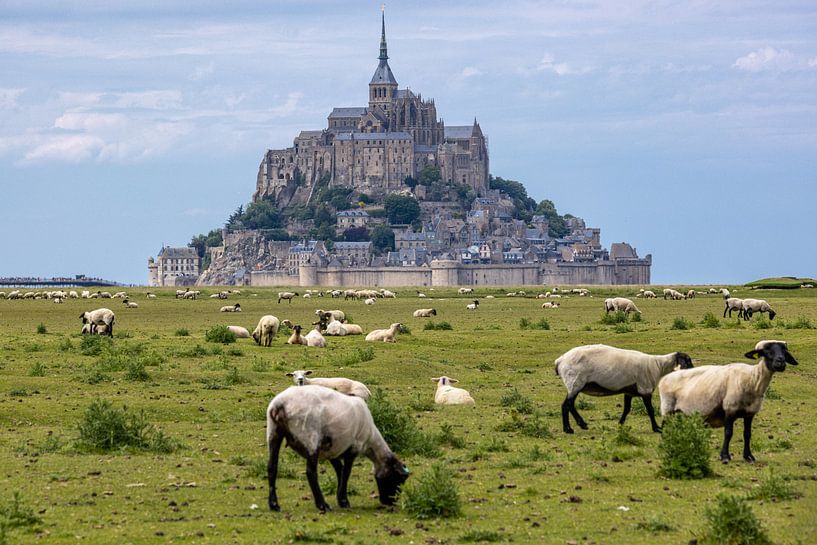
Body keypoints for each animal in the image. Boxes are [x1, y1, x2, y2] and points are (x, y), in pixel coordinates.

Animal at [266, 386, 409, 512]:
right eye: (398, 479)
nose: (390, 502)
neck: (371, 440)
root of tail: (280, 404)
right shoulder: (353, 447)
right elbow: (346, 473)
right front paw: (344, 501)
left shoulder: (332, 451)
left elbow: (340, 471)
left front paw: (341, 498)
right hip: (310, 436)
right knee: (311, 472)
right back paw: (322, 505)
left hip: (274, 432)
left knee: (272, 467)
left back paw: (274, 505)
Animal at [555, 344, 693, 433]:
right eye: (688, 361)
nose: (693, 371)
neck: (658, 366)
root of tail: (559, 361)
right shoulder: (645, 389)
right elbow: (650, 410)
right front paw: (657, 428)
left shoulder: (629, 391)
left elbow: (626, 409)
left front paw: (620, 425)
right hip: (575, 382)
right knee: (568, 405)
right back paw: (575, 427)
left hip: (574, 384)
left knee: (567, 405)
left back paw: (571, 427)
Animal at [659, 340, 798, 463]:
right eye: (767, 351)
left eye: (784, 351)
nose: (781, 362)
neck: (753, 379)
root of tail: (666, 377)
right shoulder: (730, 409)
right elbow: (728, 433)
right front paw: (725, 456)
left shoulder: (750, 413)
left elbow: (747, 434)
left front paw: (748, 456)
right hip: (667, 407)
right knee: (665, 426)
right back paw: (666, 444)